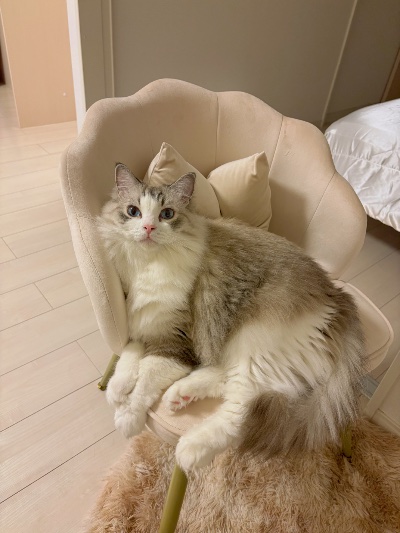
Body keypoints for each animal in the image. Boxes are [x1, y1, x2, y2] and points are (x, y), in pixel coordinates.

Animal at [97, 162, 366, 472]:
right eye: (133, 211)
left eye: (167, 214)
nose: (148, 227)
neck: (148, 266)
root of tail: (337, 296)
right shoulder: (145, 325)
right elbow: (129, 355)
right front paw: (116, 389)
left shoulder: (176, 343)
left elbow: (145, 380)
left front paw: (127, 416)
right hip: (243, 345)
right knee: (226, 378)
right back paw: (181, 394)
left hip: (255, 340)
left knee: (241, 409)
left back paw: (190, 447)